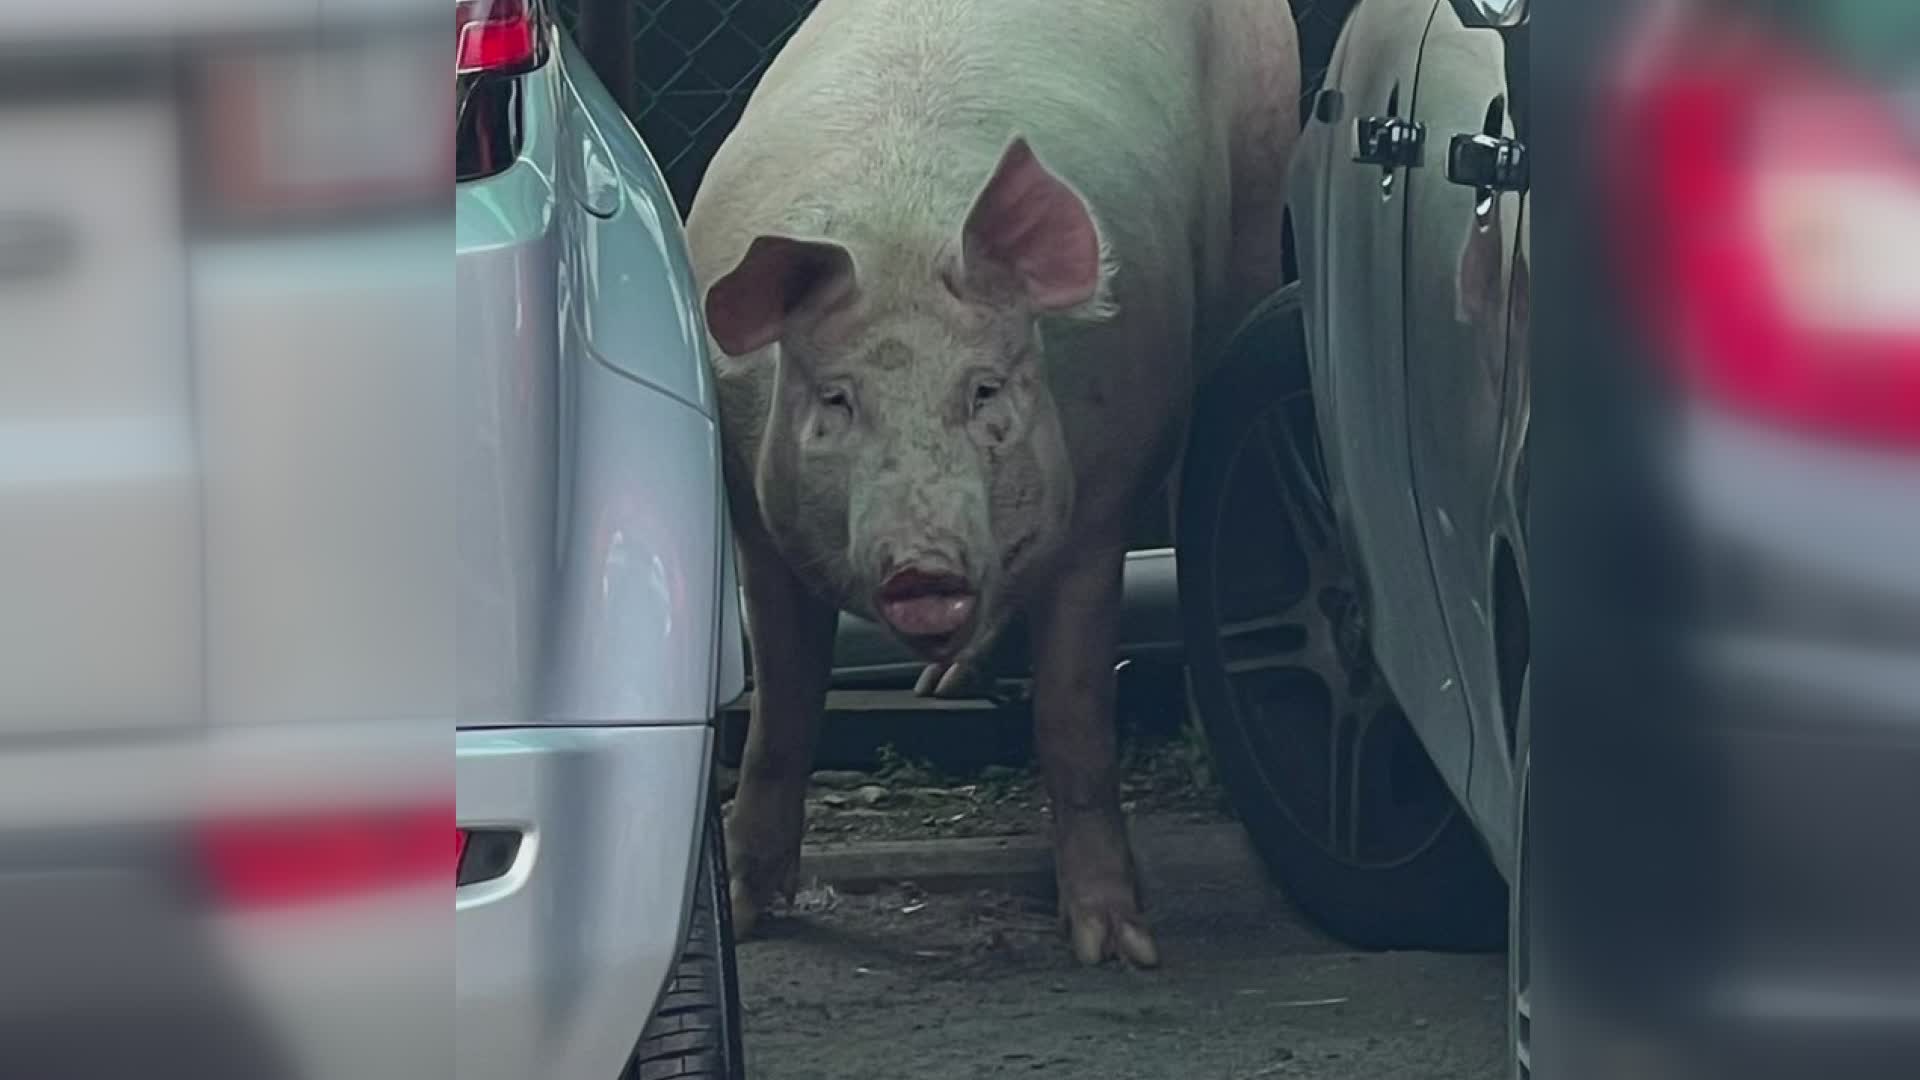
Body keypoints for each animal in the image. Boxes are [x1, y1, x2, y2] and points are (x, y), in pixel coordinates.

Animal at [683, 0, 1297, 968]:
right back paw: (941, 686)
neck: (899, 229)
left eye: (984, 391)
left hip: (1258, 202)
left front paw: (1118, 948)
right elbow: (782, 710)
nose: (921, 565)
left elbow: (1074, 715)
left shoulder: (1100, 504)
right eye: (836, 399)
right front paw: (746, 918)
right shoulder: (756, 515)